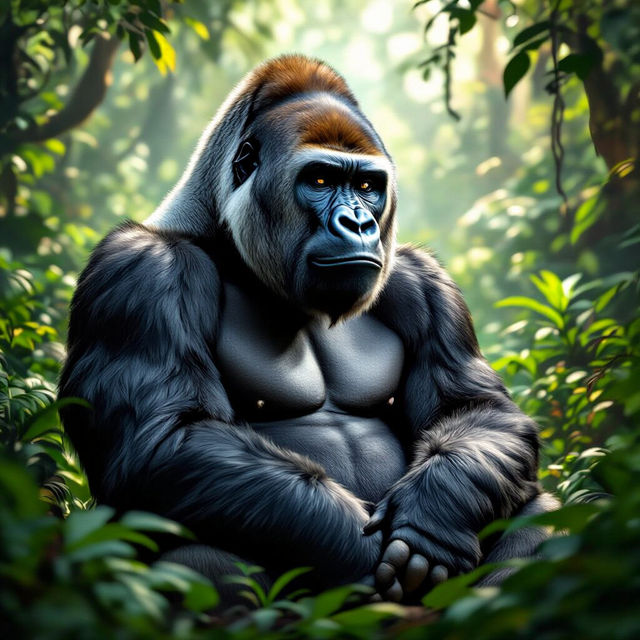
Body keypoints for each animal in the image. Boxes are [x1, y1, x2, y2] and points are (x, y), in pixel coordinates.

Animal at [59, 55, 557, 604]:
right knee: (195, 559)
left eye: (367, 187)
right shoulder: (142, 271)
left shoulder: (422, 281)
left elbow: (475, 409)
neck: (220, 235)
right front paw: (359, 551)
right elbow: (165, 437)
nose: (358, 223)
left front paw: (436, 513)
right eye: (319, 180)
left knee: (540, 519)